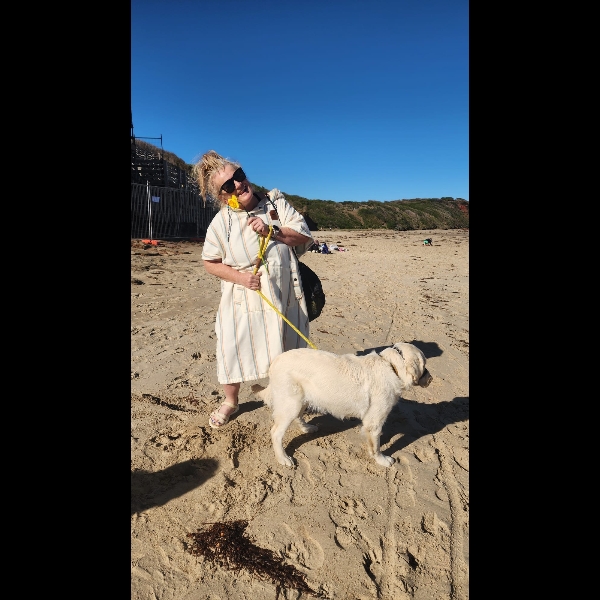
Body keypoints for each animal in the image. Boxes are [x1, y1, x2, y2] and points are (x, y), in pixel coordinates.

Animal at [251, 342, 432, 468]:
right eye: (424, 366)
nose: (431, 379)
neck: (391, 365)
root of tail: (274, 362)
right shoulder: (373, 422)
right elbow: (376, 447)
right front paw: (382, 460)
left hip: (301, 399)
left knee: (298, 417)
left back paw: (307, 428)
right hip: (291, 403)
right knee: (276, 432)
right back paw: (283, 458)